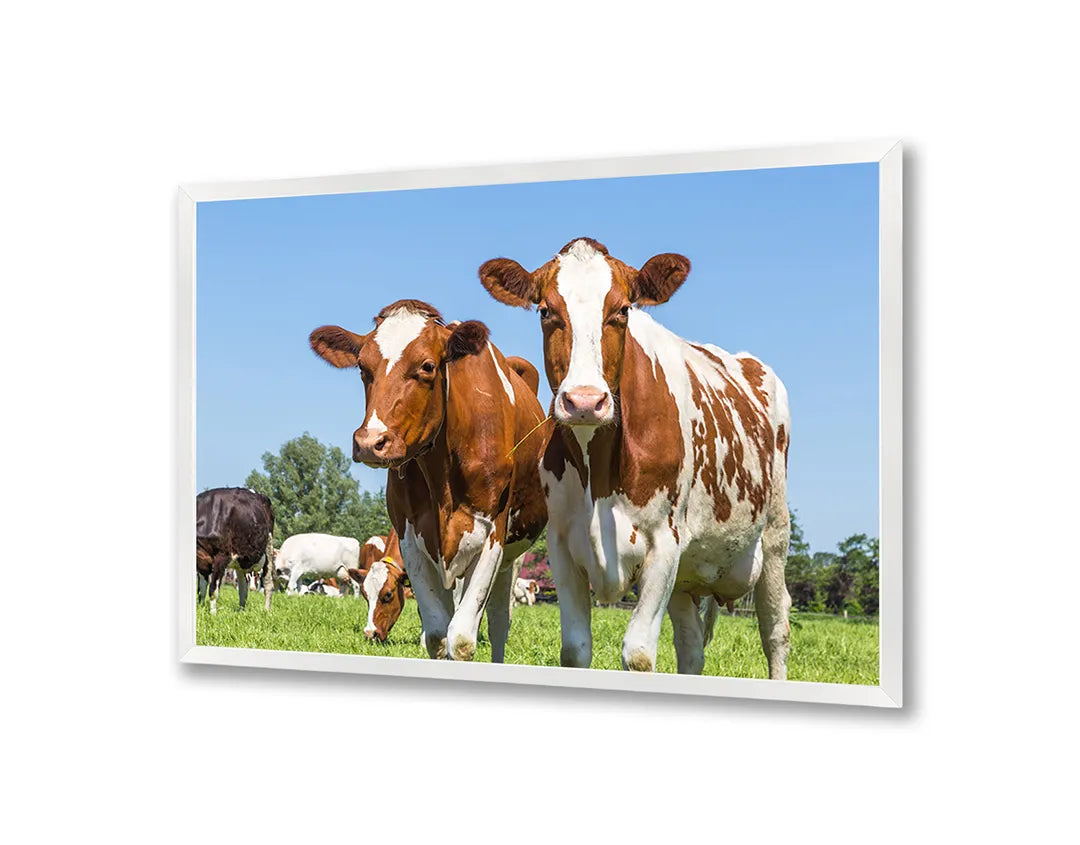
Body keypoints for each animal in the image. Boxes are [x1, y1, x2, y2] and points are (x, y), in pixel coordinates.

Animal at [310, 299, 548, 662]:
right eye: (363, 368)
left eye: (427, 366)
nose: (370, 442)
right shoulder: (413, 538)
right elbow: (437, 632)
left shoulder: (490, 535)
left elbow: (461, 638)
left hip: (513, 555)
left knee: (499, 620)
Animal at [478, 238, 792, 677]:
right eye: (545, 310)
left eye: (623, 309)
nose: (585, 402)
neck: (599, 476)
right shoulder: (562, 544)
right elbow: (575, 650)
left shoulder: (665, 543)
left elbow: (639, 655)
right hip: (688, 576)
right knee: (691, 648)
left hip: (775, 536)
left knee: (775, 630)